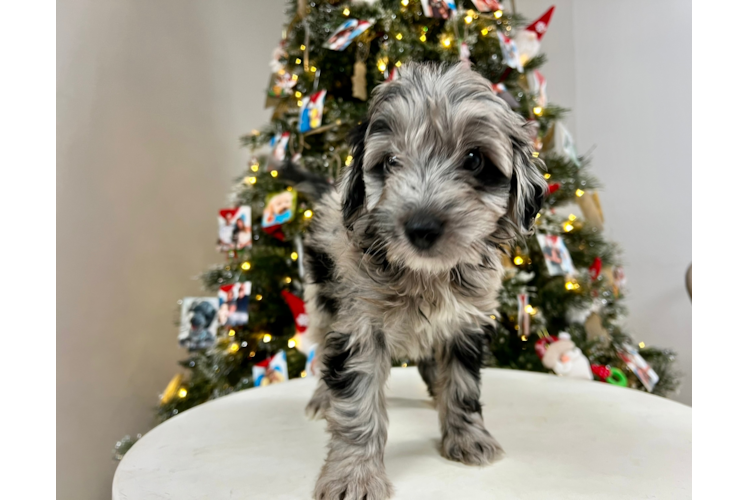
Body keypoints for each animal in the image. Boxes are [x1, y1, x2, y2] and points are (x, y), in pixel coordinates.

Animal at [302, 63, 544, 500]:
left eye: (474, 159)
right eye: (389, 162)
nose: (421, 227)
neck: (424, 274)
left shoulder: (466, 321)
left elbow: (462, 386)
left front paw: (467, 437)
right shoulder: (359, 326)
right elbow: (356, 403)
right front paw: (353, 475)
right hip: (323, 300)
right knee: (323, 346)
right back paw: (321, 398)